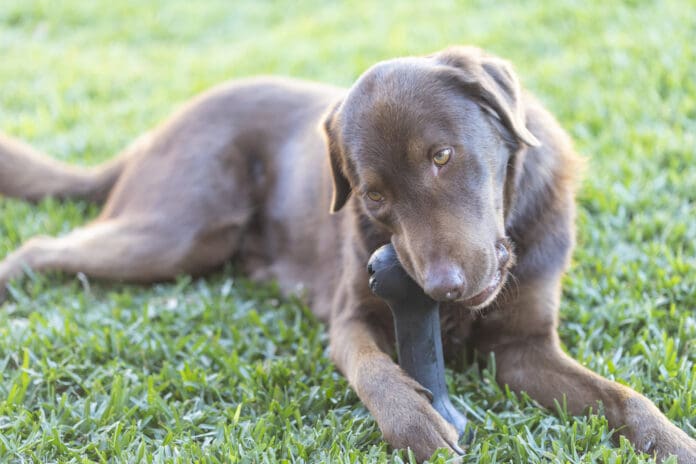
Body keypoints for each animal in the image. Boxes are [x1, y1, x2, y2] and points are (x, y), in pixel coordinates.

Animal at [1, 46, 696, 460]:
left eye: (443, 156)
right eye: (374, 196)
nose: (441, 288)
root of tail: (154, 132)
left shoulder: (523, 350)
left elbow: (626, 398)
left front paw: (672, 441)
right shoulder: (352, 317)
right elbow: (372, 370)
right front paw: (415, 423)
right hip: (175, 232)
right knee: (38, 246)